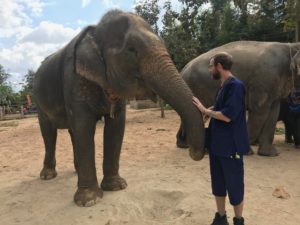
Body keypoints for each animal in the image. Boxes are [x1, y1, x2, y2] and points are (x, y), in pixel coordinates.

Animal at [33, 10, 206, 207]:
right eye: (131, 50)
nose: (192, 152)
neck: (95, 32)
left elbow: (115, 127)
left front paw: (116, 187)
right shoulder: (74, 80)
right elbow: (84, 126)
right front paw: (88, 201)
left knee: (72, 132)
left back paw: (76, 172)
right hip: (38, 101)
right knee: (49, 132)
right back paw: (47, 176)